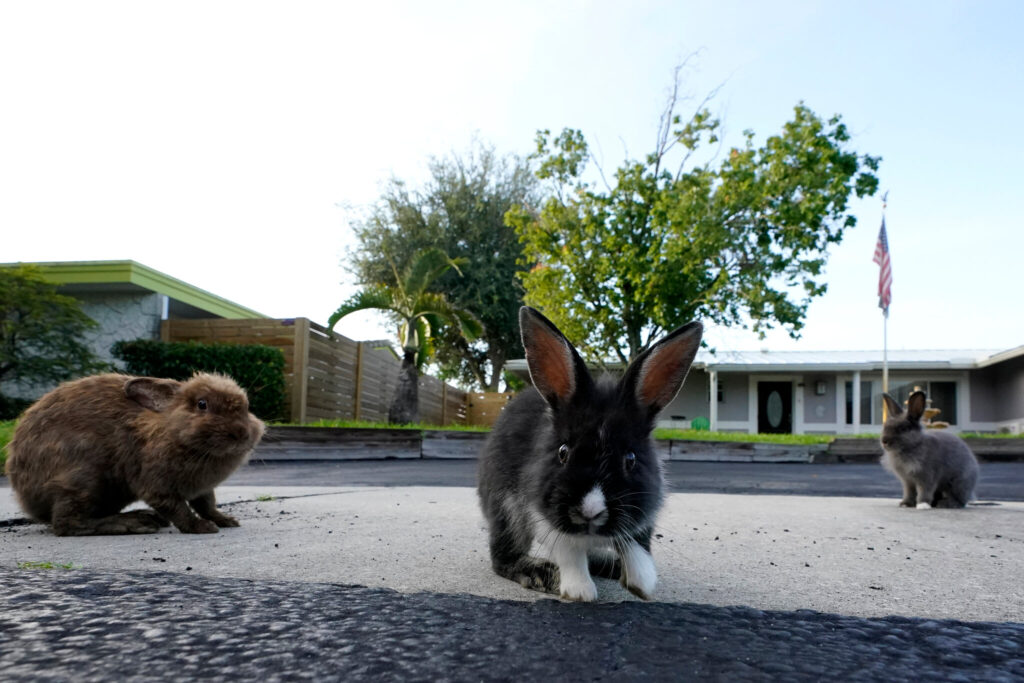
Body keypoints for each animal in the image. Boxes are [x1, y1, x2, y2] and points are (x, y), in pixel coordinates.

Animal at [4, 370, 266, 536]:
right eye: (202, 404)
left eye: (247, 408)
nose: (240, 433)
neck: (171, 432)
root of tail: (26, 497)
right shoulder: (155, 485)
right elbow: (179, 509)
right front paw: (202, 528)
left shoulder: (202, 488)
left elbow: (207, 504)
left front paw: (227, 521)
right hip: (83, 479)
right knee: (65, 523)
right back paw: (133, 523)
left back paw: (147, 517)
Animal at [475, 307, 700, 602]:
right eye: (563, 452)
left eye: (630, 459)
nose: (590, 511)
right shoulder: (542, 513)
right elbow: (570, 551)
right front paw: (580, 591)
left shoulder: (642, 515)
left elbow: (637, 546)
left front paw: (642, 583)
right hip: (506, 511)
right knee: (502, 558)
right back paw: (541, 573)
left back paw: (610, 566)